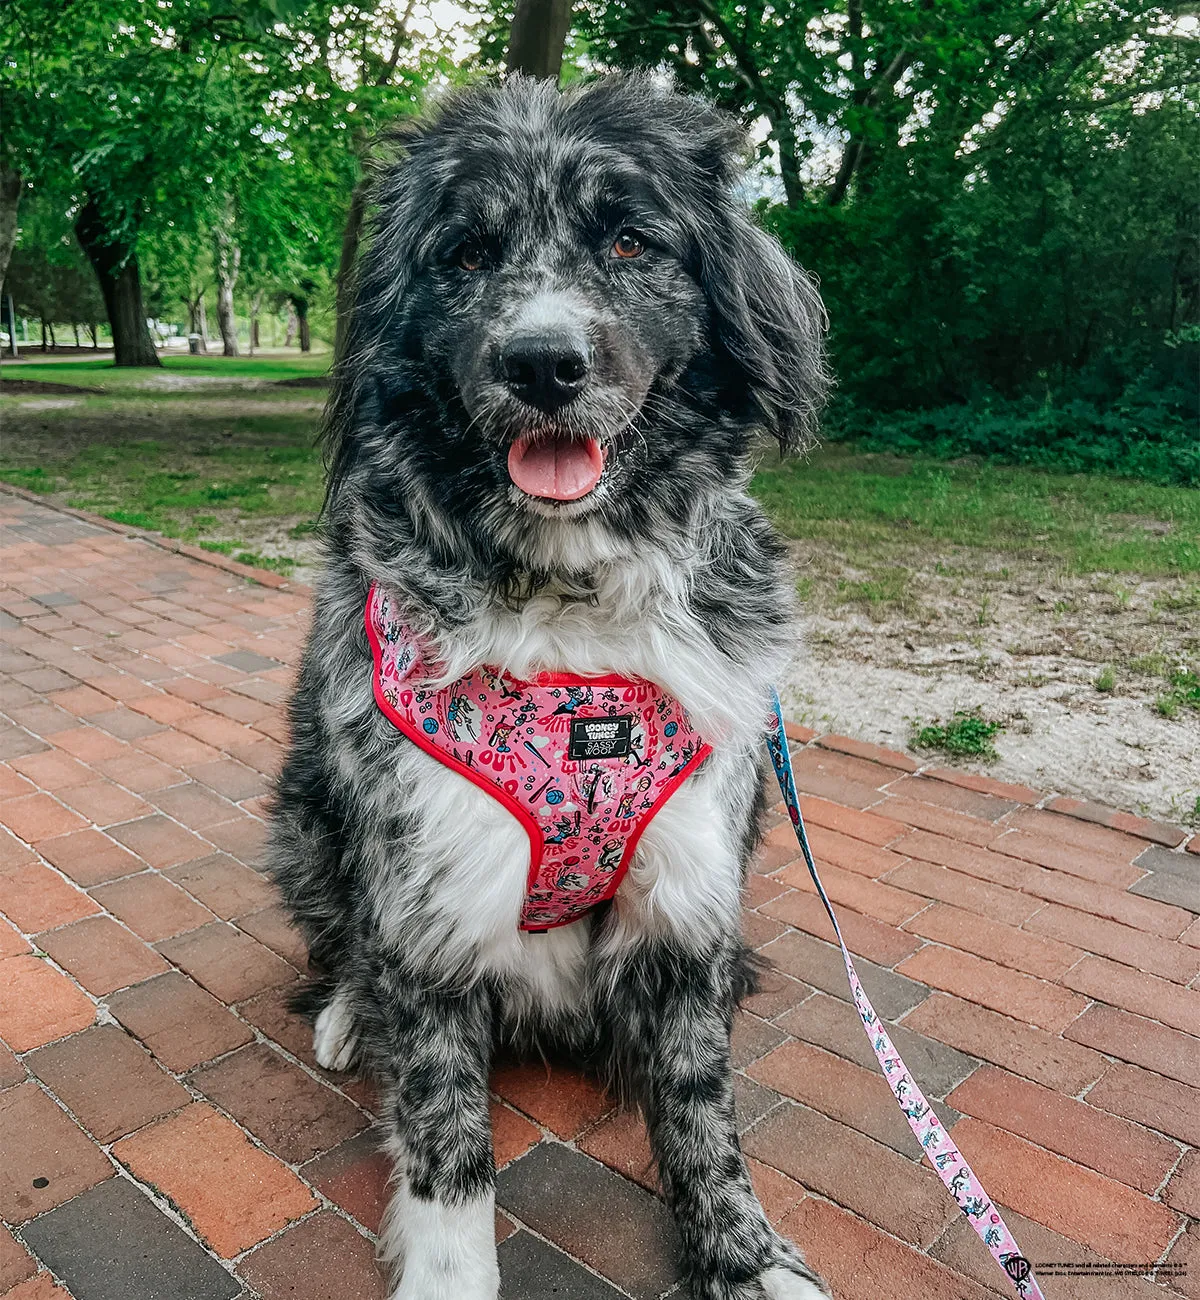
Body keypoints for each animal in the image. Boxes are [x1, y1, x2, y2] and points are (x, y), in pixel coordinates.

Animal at [270, 73, 837, 1300]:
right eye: (466, 254)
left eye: (630, 239)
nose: (542, 362)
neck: (571, 616)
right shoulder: (430, 898)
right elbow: (445, 1144)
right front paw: (448, 1274)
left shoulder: (688, 892)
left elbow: (704, 1112)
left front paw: (746, 1258)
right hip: (303, 821)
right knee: (341, 946)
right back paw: (346, 1014)